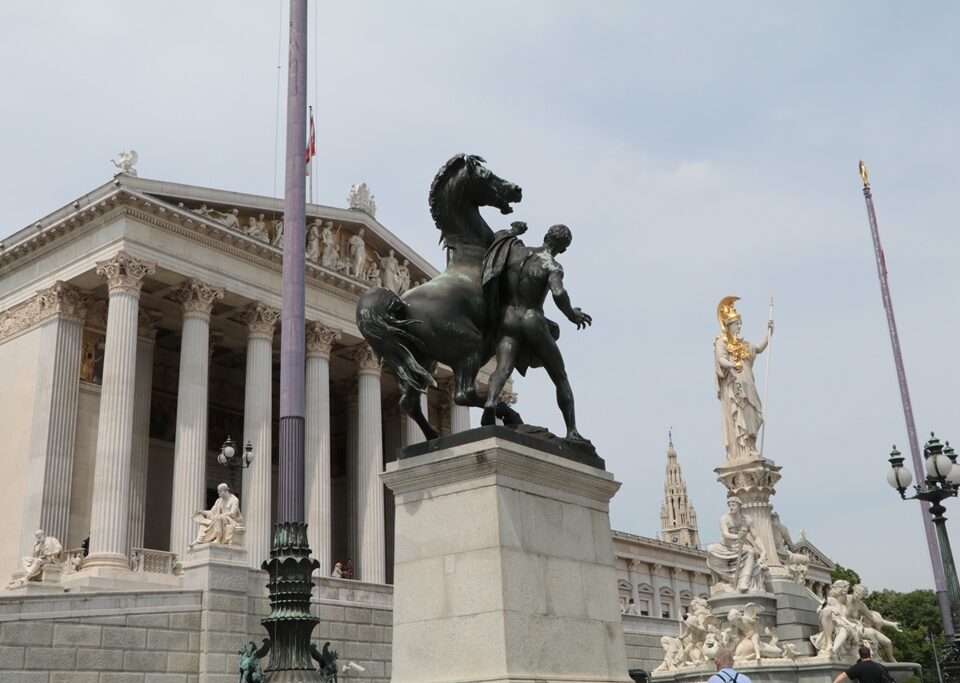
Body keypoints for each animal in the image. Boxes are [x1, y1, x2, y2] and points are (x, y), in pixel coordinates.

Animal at [358, 154, 524, 438]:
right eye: (486, 174)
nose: (516, 189)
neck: (470, 252)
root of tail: (400, 303)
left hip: (421, 359)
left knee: (409, 401)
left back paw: (432, 437)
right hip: (468, 347)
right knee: (463, 394)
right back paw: (506, 415)